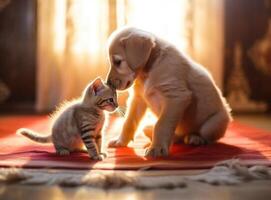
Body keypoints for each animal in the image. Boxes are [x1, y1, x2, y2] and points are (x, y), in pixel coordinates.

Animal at [105, 27, 233, 158]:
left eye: (118, 62)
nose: (108, 83)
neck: (149, 70)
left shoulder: (176, 97)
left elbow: (162, 125)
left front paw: (157, 148)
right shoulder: (138, 99)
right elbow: (129, 122)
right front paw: (120, 141)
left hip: (213, 124)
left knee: (206, 136)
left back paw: (196, 138)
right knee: (174, 135)